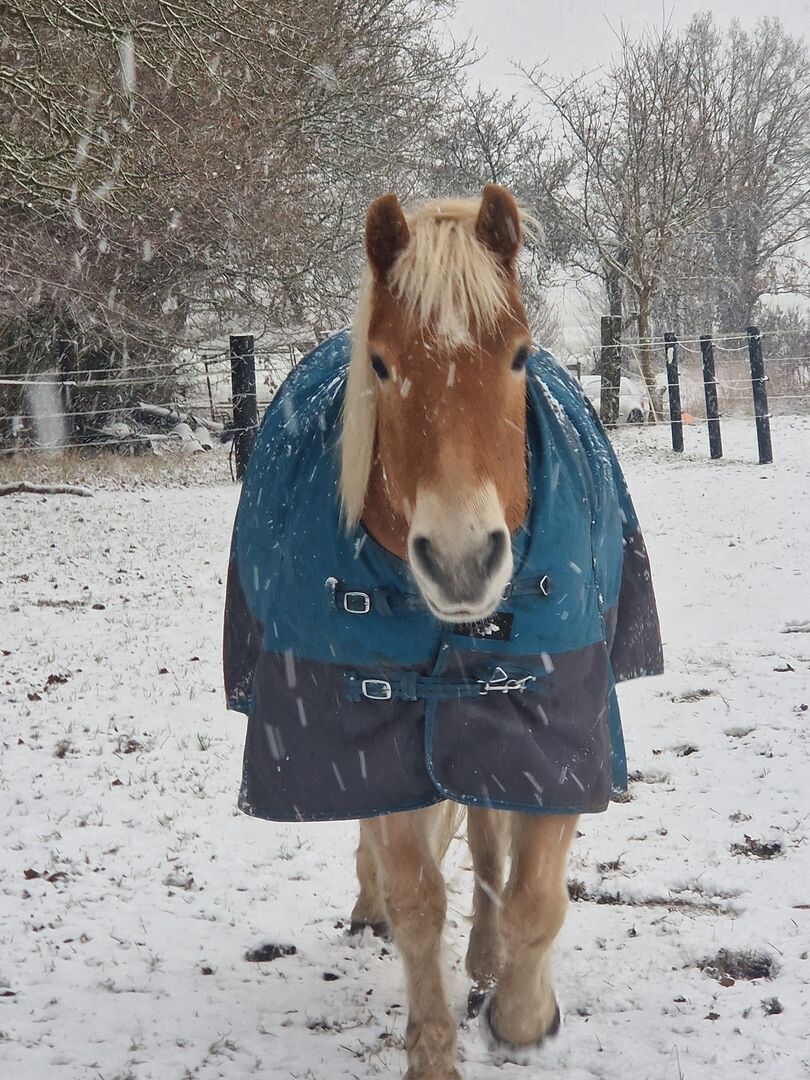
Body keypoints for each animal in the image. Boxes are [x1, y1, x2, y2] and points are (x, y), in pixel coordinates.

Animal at [224, 184, 662, 1079]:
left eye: (520, 356)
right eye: (383, 364)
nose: (462, 561)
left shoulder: (554, 724)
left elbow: (534, 895)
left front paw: (524, 1010)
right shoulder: (371, 719)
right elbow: (417, 896)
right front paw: (431, 1050)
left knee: (489, 843)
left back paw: (488, 961)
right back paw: (372, 908)